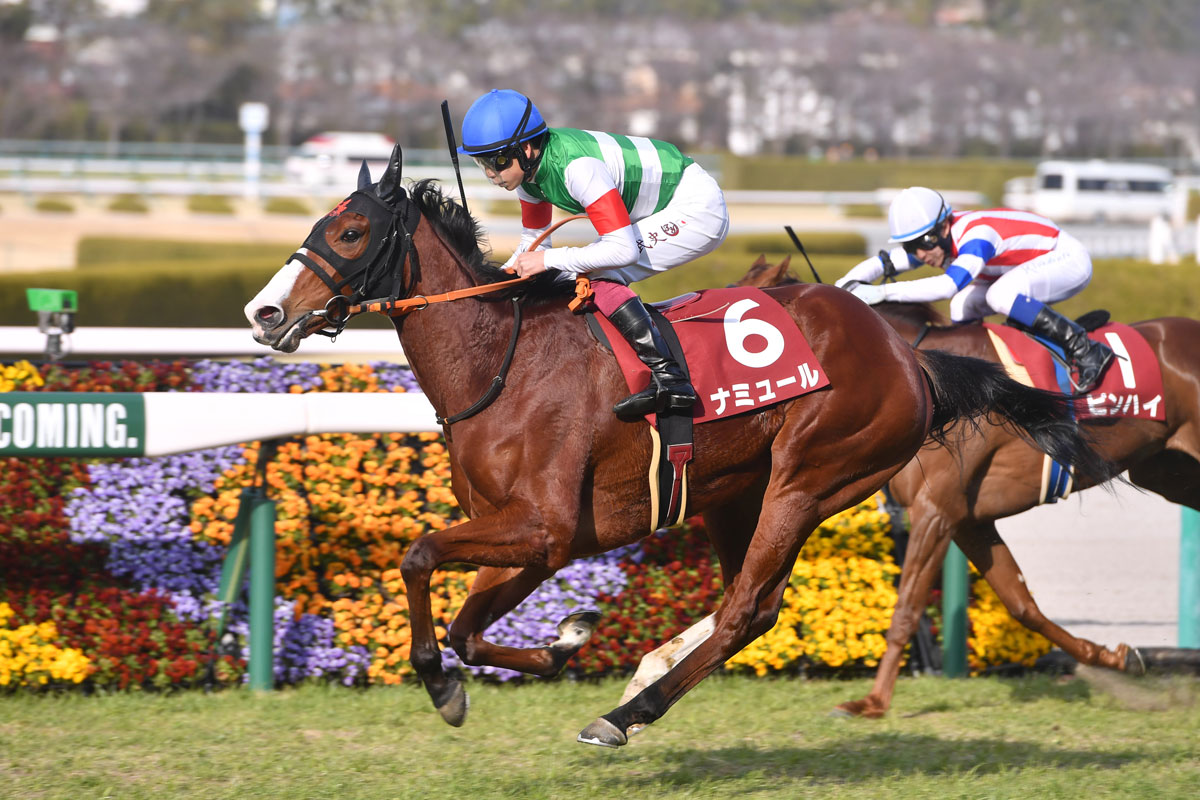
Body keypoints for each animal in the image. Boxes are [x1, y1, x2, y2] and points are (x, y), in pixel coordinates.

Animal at [243, 147, 1112, 746]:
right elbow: (466, 627)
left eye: (351, 230)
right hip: (734, 494)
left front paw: (441, 684)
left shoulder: (541, 526)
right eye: (319, 225)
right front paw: (560, 644)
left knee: (748, 608)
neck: (503, 362)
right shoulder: (543, 541)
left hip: (810, 479)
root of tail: (910, 354)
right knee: (746, 606)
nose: (261, 313)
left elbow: (418, 556)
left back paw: (629, 713)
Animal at [734, 256, 1200, 718]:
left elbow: (907, 608)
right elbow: (1023, 606)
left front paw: (873, 702)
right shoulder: (969, 521)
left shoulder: (935, 512)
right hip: (1166, 472)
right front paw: (1114, 657)